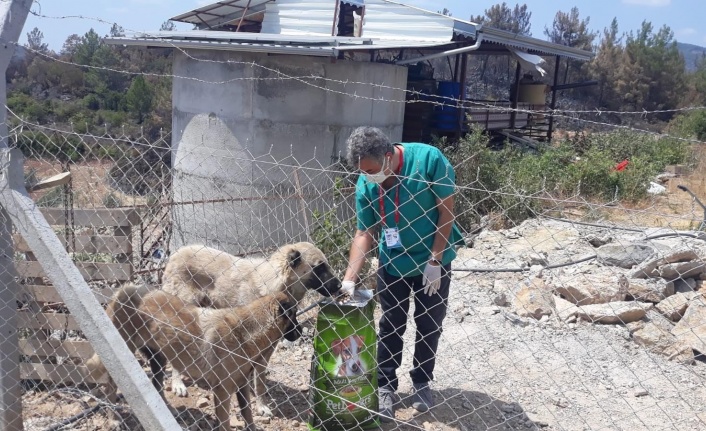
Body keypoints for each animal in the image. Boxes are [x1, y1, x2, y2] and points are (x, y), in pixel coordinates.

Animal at [86, 284, 300, 431]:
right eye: (294, 315)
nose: (302, 331)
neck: (246, 332)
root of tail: (124, 289)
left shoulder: (242, 385)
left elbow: (247, 413)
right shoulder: (223, 391)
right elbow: (225, 422)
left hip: (159, 359)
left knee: (157, 385)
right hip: (121, 355)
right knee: (110, 389)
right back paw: (113, 419)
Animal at [161, 241, 340, 416]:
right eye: (319, 267)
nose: (339, 286)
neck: (275, 283)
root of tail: (174, 255)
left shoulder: (267, 348)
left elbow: (260, 381)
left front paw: (261, 405)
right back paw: (177, 383)